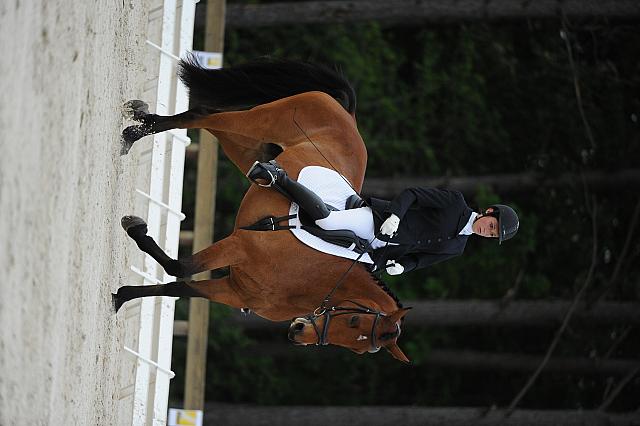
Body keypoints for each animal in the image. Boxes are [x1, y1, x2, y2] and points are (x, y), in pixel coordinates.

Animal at [114, 57, 410, 362]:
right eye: (353, 320)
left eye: (359, 348)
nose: (297, 333)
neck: (313, 278)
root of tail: (349, 116)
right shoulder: (239, 246)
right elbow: (180, 267)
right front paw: (135, 227)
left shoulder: (237, 292)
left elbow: (178, 285)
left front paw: (121, 297)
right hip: (256, 123)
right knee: (204, 115)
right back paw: (134, 132)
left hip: (243, 146)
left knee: (207, 119)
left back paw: (140, 121)